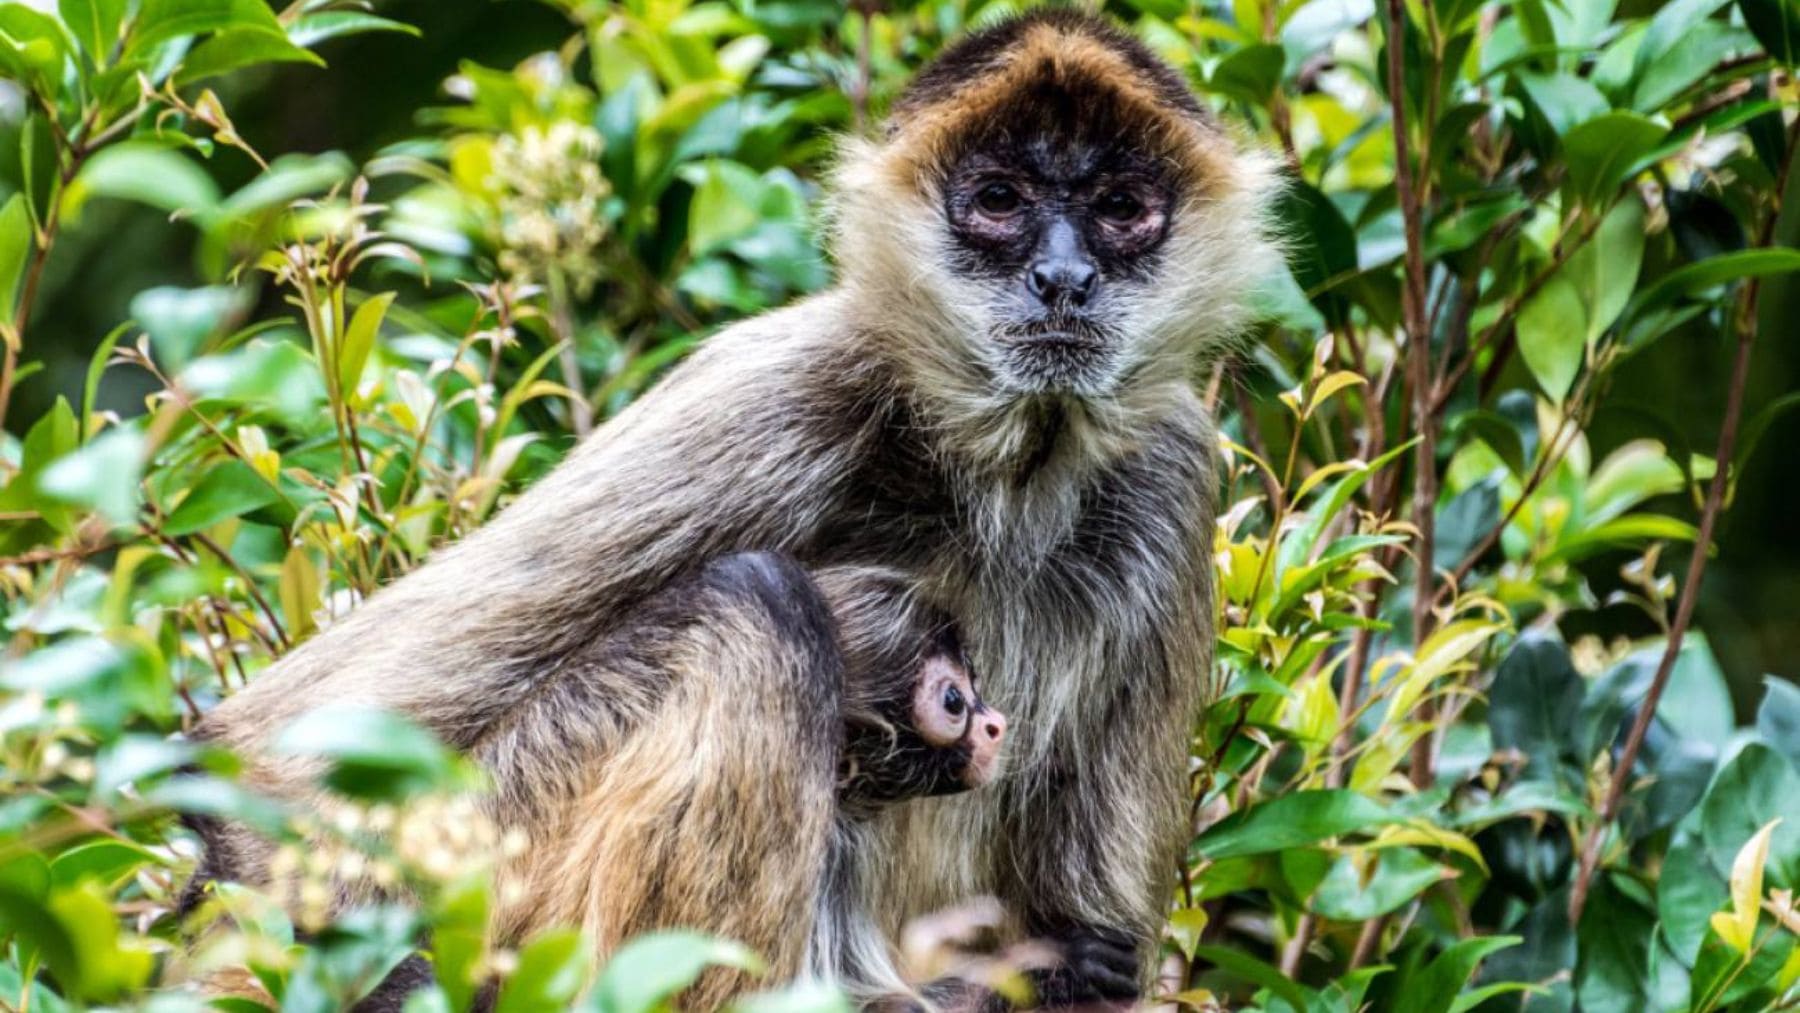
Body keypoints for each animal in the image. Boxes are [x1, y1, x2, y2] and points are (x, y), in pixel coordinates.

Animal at [192, 8, 1277, 1009]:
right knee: (761, 602)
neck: (1006, 477)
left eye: (1120, 208)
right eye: (1000, 201)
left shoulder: (1173, 466)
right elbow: (269, 765)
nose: (1062, 278)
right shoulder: (793, 382)